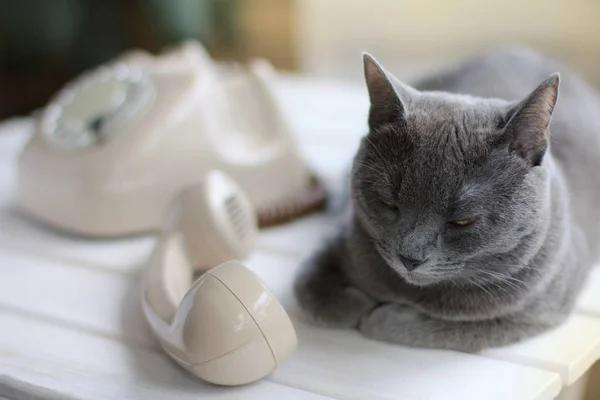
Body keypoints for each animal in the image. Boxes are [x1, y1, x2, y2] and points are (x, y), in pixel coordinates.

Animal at [294, 48, 600, 352]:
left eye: (463, 221)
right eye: (388, 204)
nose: (410, 258)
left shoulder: (535, 312)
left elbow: (445, 327)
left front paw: (379, 315)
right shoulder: (341, 234)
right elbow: (306, 286)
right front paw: (354, 303)